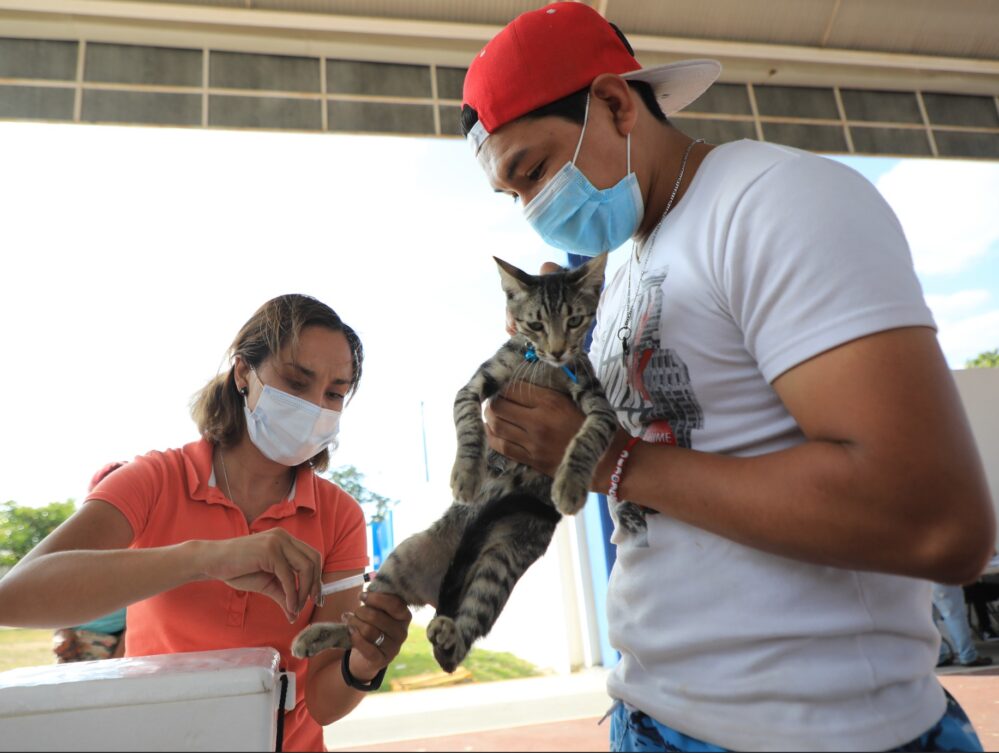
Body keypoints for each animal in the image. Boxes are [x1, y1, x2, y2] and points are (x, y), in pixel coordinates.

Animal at [292, 253, 616, 668]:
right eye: (535, 325)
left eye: (575, 321)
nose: (559, 351)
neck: (543, 366)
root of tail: (439, 593)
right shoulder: (475, 384)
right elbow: (469, 424)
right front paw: (466, 473)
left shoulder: (598, 404)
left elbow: (587, 439)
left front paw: (571, 485)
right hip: (401, 558)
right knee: (360, 628)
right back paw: (319, 634)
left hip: (499, 564)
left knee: (462, 639)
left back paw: (449, 635)